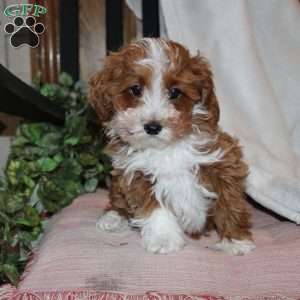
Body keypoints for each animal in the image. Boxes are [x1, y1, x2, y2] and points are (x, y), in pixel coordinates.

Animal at [89, 38, 255, 255]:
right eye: (135, 89)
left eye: (175, 92)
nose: (152, 127)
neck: (166, 148)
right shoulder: (137, 174)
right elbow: (155, 206)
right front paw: (163, 239)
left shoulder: (223, 160)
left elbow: (229, 199)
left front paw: (235, 241)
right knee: (118, 198)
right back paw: (114, 217)